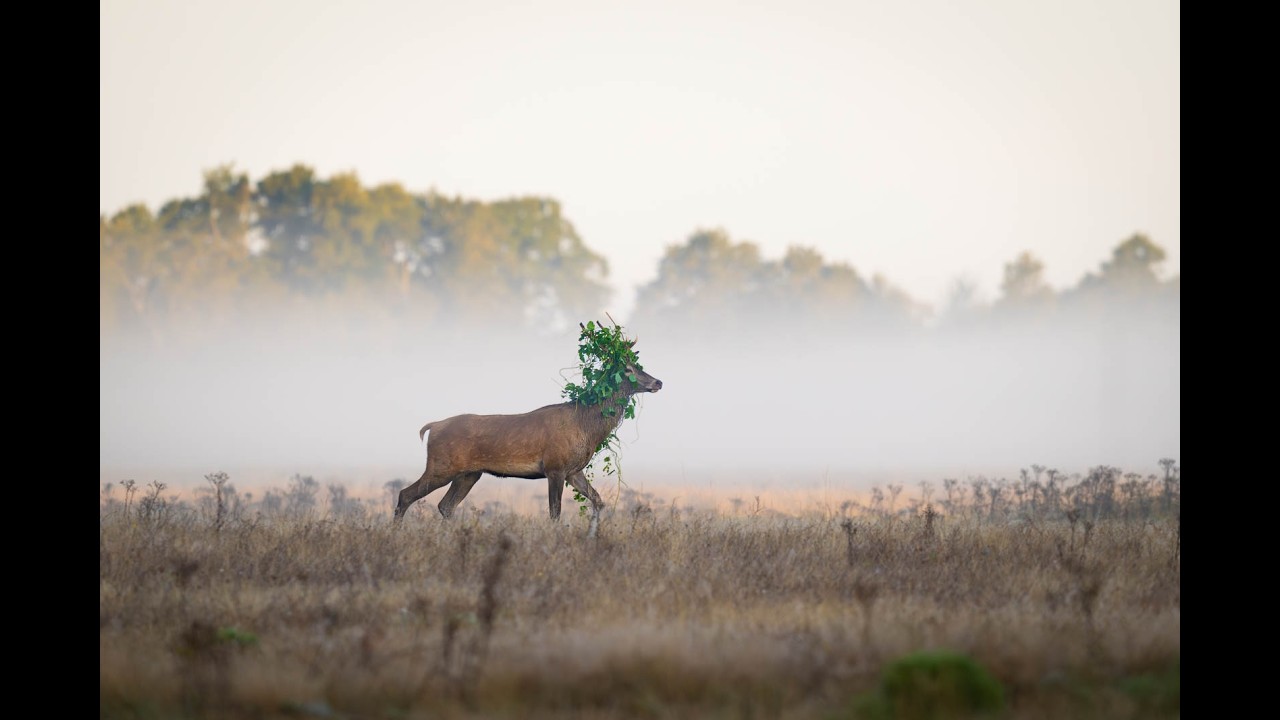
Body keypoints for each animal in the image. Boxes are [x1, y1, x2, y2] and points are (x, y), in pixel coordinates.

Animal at [393, 350, 662, 537]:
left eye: (639, 365)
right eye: (628, 369)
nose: (658, 382)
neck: (588, 428)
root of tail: (432, 427)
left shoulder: (573, 470)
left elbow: (598, 501)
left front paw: (592, 537)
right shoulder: (555, 467)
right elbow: (555, 513)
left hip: (469, 473)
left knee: (445, 505)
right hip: (442, 465)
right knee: (406, 494)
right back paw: (396, 535)